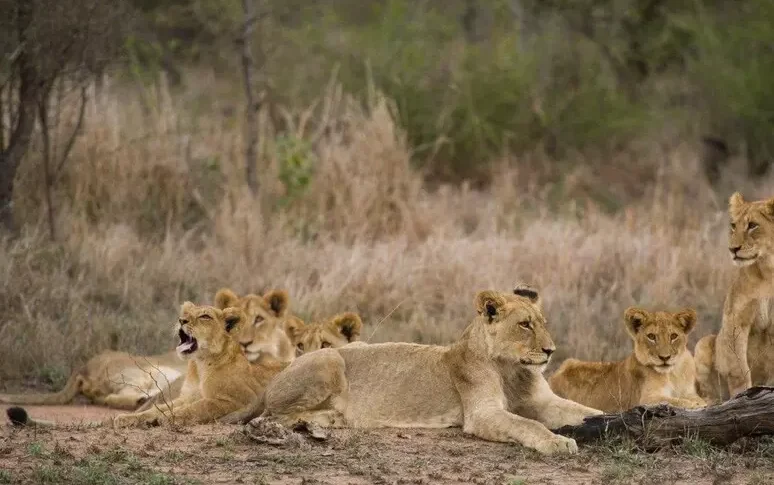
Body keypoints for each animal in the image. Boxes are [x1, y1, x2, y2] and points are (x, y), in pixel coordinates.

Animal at [9, 302, 286, 428]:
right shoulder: (188, 395)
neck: (199, 366)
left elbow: (187, 412)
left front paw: (155, 420)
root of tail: (82, 368)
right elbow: (162, 408)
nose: (181, 320)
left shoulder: (228, 400)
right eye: (186, 312)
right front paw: (131, 419)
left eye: (205, 316)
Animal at [225, 286, 602, 455]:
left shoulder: (544, 402)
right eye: (525, 325)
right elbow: (527, 424)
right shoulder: (482, 414)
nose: (551, 350)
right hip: (331, 358)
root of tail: (275, 375)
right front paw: (558, 441)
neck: (513, 369)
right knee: (272, 416)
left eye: (543, 323)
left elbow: (587, 411)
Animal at [548, 307, 706, 412]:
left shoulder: (689, 392)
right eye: (651, 337)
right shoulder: (647, 399)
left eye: (673, 336)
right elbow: (674, 400)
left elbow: (696, 398)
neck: (673, 374)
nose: (664, 357)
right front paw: (695, 405)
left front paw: (700, 403)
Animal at [694, 192, 774, 404]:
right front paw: (742, 396)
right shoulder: (736, 319)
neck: (768, 271)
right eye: (733, 226)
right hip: (703, 343)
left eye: (753, 225)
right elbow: (738, 368)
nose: (733, 249)